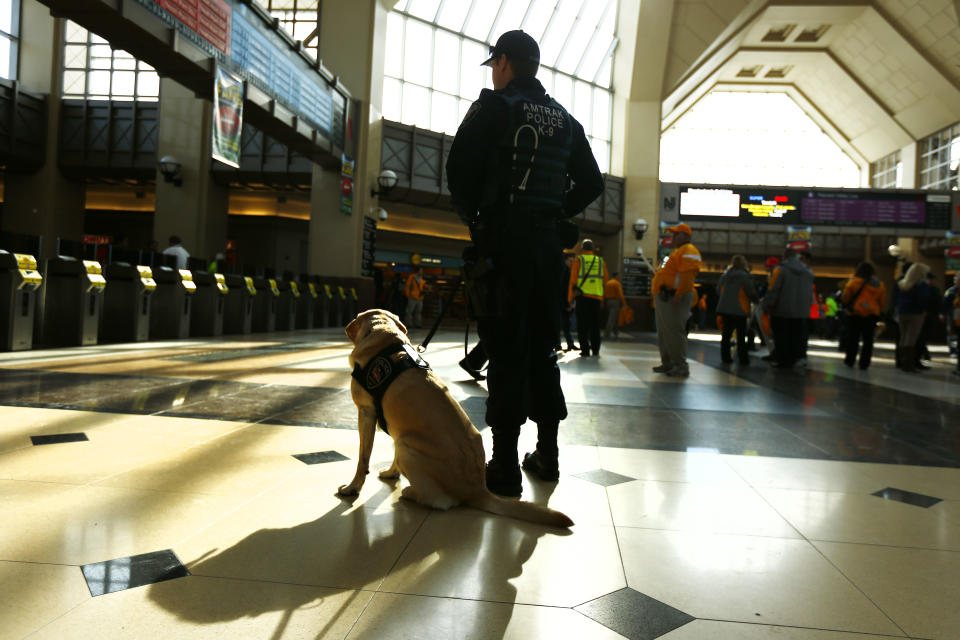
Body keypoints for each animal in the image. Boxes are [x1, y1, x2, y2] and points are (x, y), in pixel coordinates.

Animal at [342, 308, 572, 528]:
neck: (385, 336)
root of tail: (478, 489)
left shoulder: (366, 413)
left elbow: (363, 459)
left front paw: (352, 487)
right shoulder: (395, 427)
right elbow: (390, 460)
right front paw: (391, 473)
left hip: (406, 445)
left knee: (440, 502)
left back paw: (411, 493)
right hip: (404, 441)